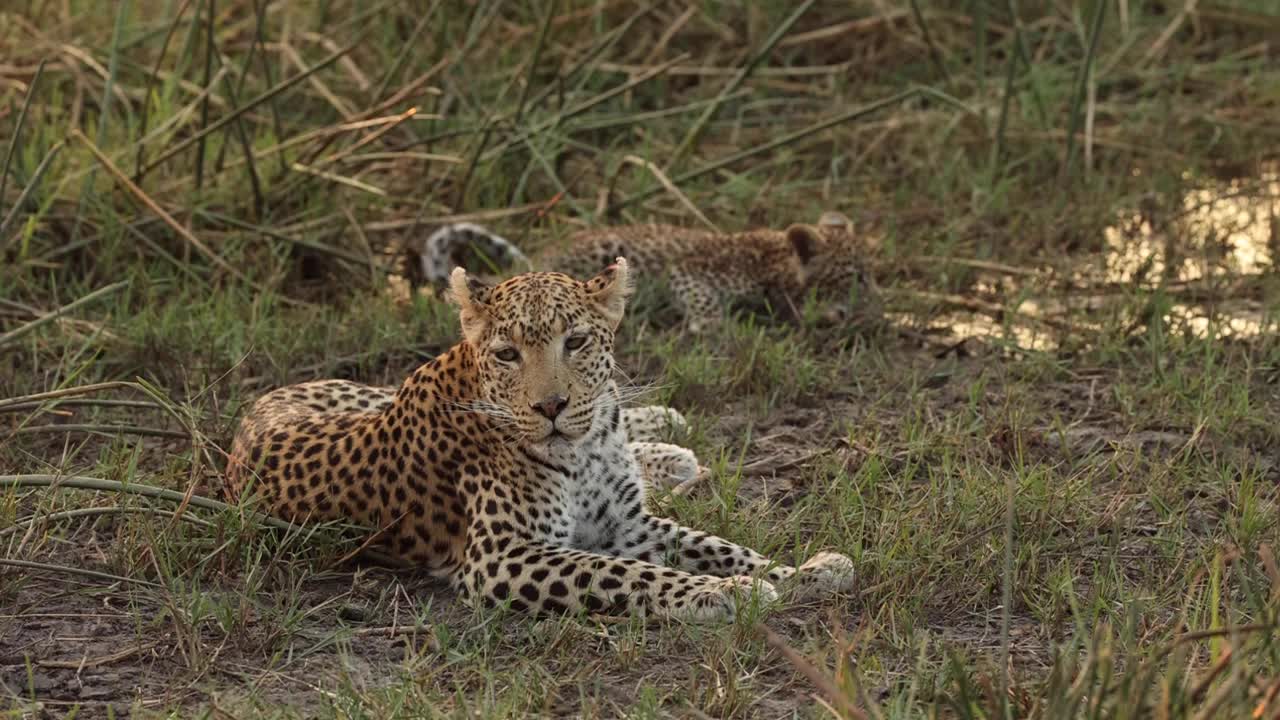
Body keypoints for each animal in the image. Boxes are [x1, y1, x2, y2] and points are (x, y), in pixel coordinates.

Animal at [225, 259, 855, 621]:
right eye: (508, 354)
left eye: (574, 342)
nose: (550, 407)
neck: (587, 450)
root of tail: (261, 406)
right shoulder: (503, 554)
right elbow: (629, 574)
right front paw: (724, 594)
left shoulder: (626, 525)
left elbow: (721, 546)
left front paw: (803, 572)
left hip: (371, 394)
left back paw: (666, 438)